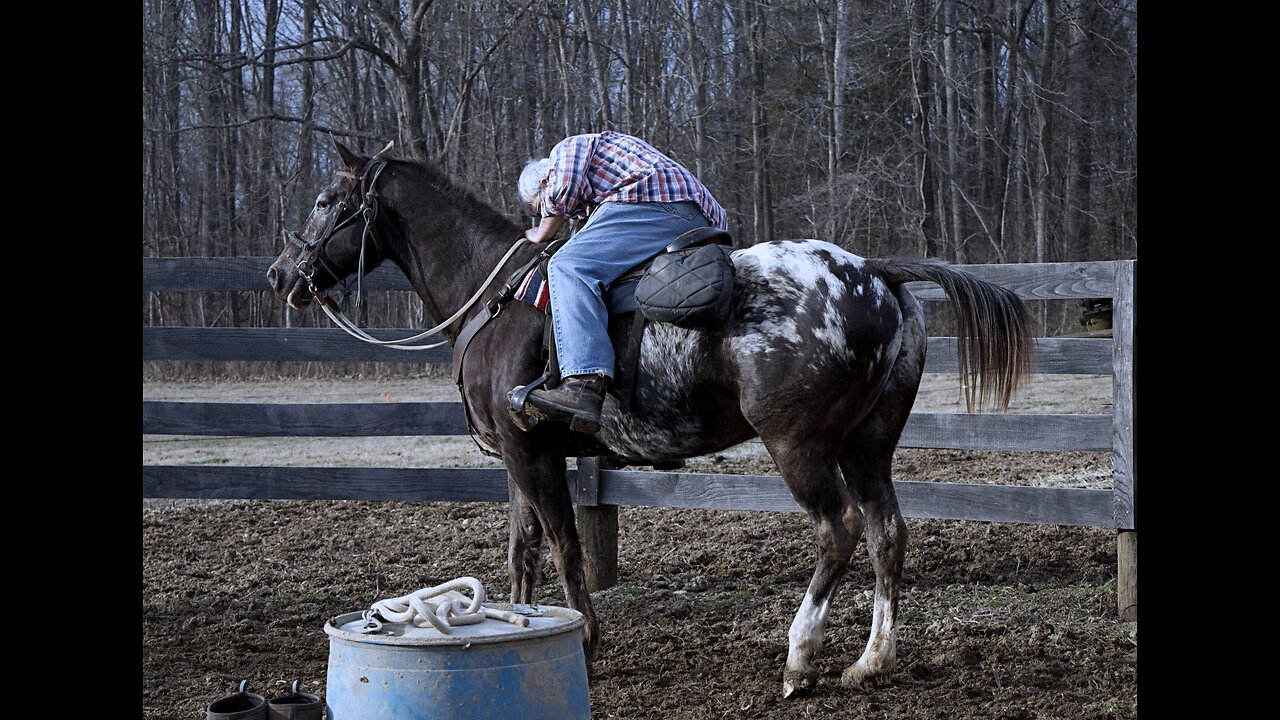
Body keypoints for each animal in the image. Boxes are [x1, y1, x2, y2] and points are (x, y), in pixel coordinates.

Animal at [264, 140, 1034, 696]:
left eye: (327, 200)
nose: (280, 276)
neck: (499, 298)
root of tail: (877, 275)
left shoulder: (531, 453)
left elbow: (565, 547)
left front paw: (583, 640)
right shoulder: (518, 453)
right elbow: (522, 551)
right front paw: (516, 623)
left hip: (801, 445)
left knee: (838, 529)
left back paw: (799, 659)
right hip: (866, 445)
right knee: (886, 533)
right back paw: (871, 661)